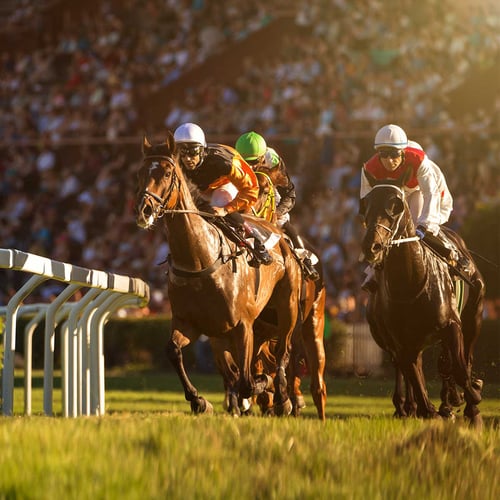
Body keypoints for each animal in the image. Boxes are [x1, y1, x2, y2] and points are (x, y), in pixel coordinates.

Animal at [135, 132, 302, 414]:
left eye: (167, 173)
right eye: (140, 172)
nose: (144, 210)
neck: (199, 259)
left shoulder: (242, 326)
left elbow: (246, 382)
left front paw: (262, 386)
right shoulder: (189, 323)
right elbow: (173, 351)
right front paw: (198, 400)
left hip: (286, 307)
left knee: (283, 352)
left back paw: (283, 398)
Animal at [360, 170, 484, 428]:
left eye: (396, 205)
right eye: (365, 204)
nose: (372, 246)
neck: (412, 282)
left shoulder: (452, 325)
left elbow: (459, 368)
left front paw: (472, 403)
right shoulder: (401, 342)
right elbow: (415, 377)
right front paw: (428, 409)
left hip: (474, 316)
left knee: (461, 359)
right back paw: (412, 406)